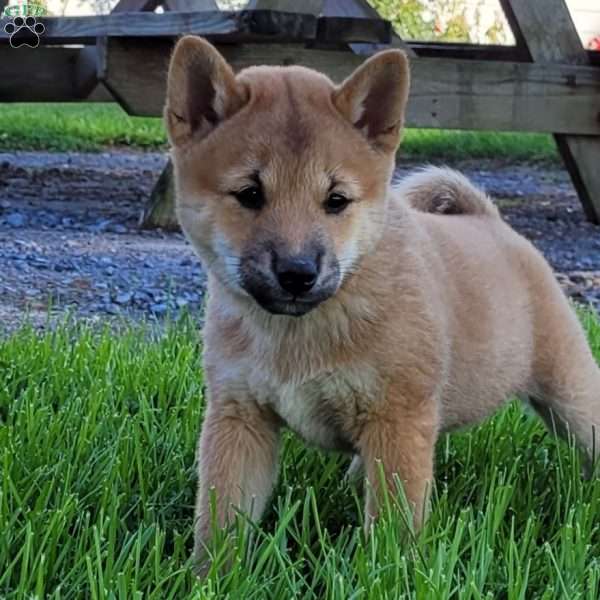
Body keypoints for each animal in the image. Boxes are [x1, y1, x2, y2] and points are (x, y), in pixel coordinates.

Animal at [164, 36, 600, 564]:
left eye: (336, 200)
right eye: (249, 194)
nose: (297, 273)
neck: (300, 330)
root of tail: (492, 222)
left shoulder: (397, 418)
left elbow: (394, 523)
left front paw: (389, 570)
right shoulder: (239, 416)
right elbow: (221, 518)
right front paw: (211, 575)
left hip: (569, 392)